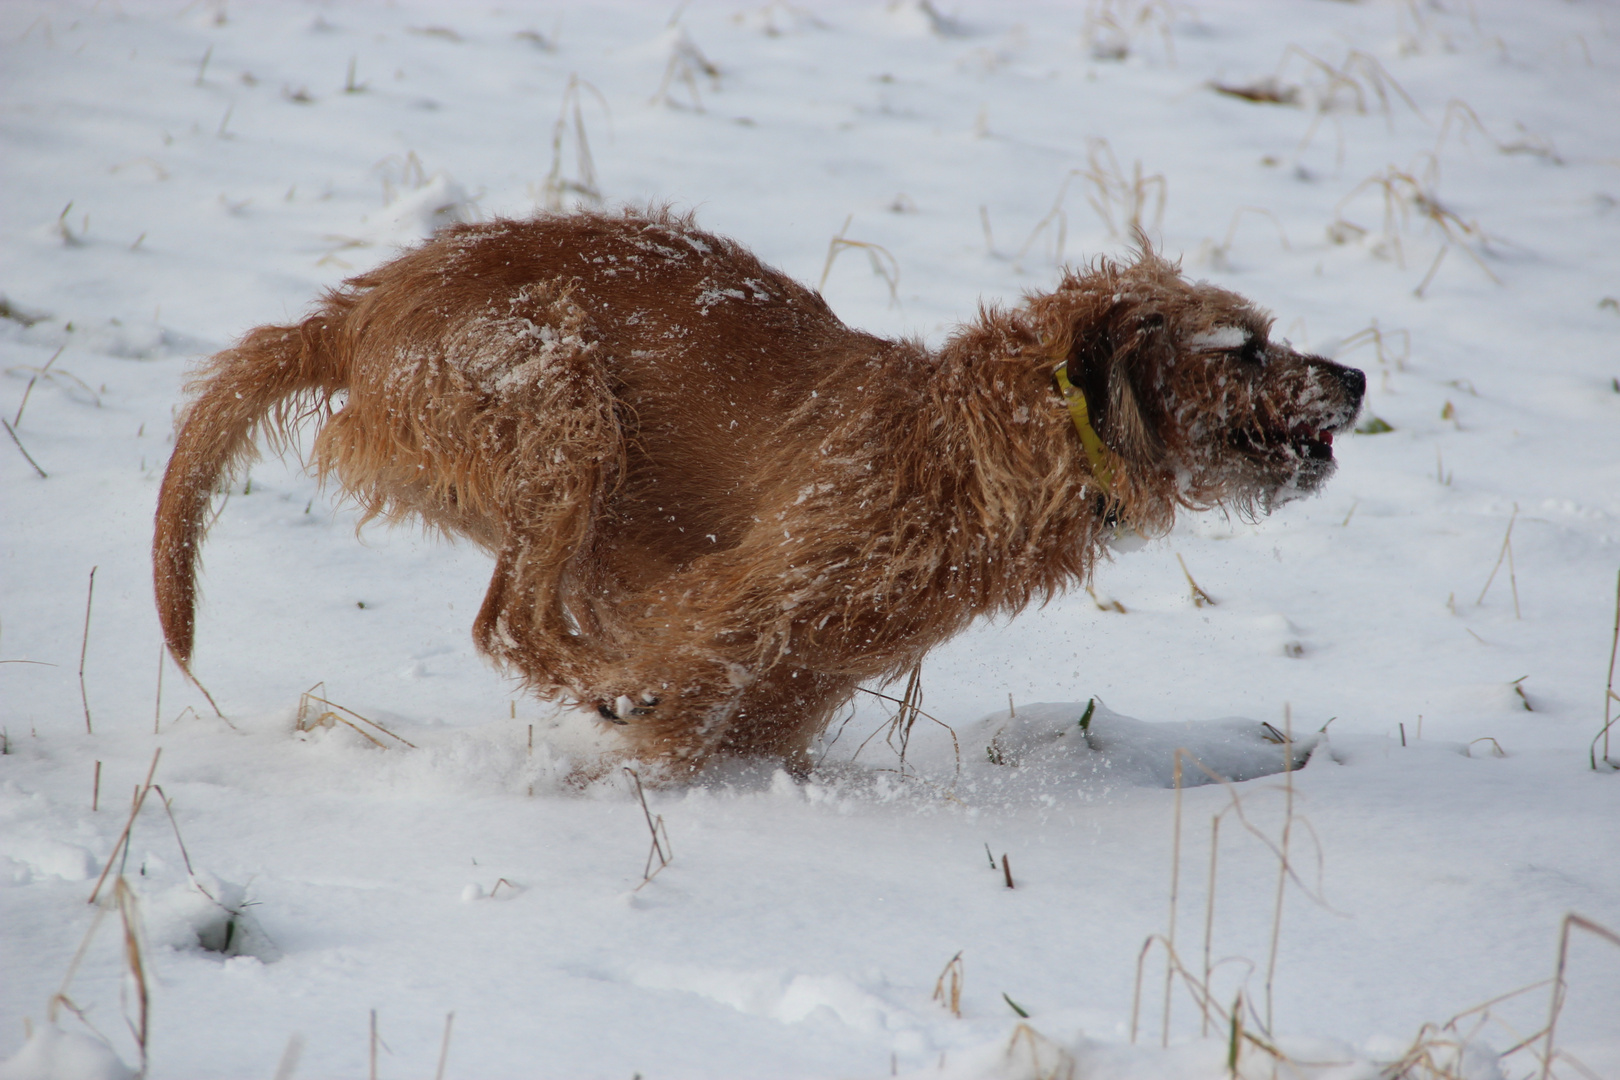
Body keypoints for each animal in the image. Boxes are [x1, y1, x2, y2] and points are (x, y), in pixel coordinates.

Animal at [154, 207, 1367, 773]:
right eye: (1247, 348)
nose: (1356, 378)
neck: (971, 440)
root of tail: (354, 314)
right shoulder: (741, 601)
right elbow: (685, 696)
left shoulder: (799, 674)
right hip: (561, 405)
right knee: (514, 622)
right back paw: (606, 682)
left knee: (533, 619)